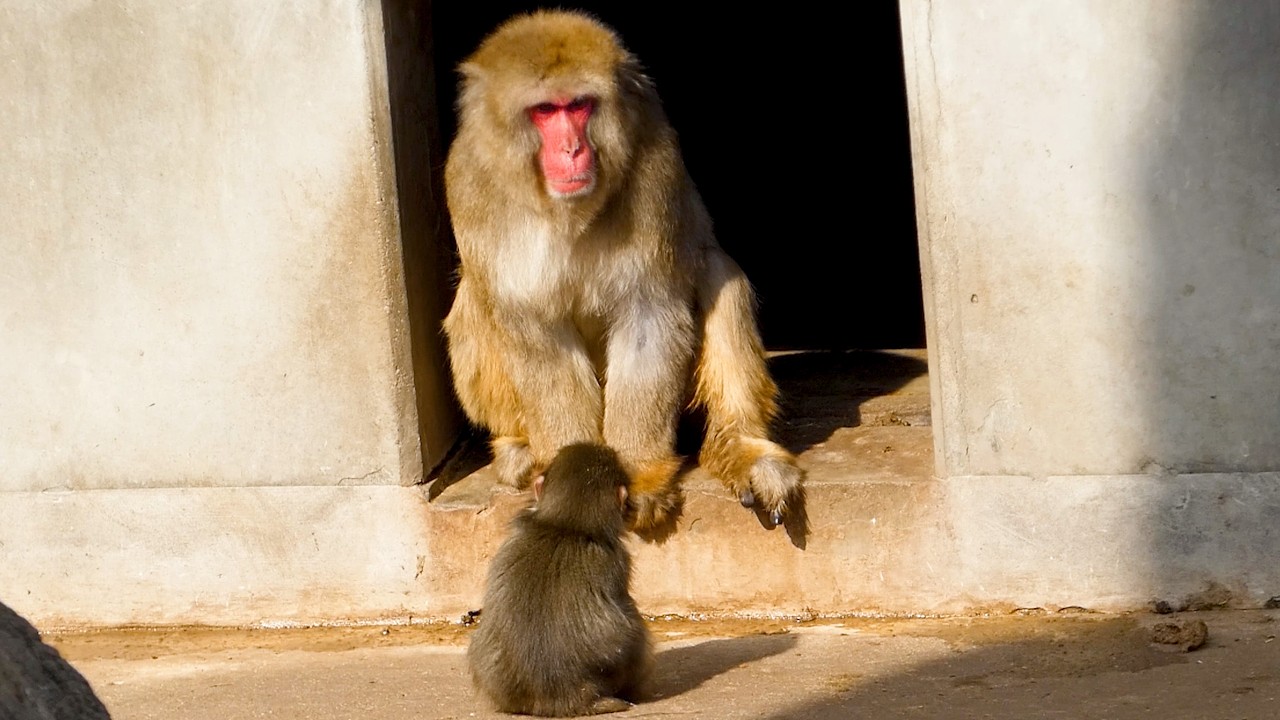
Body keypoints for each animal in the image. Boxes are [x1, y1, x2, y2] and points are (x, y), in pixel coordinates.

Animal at [442, 9, 804, 532]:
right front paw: (564, 474)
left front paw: (639, 475)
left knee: (717, 269)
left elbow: (648, 314)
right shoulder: (470, 183)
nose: (572, 150)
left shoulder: (653, 167)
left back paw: (740, 446)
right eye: (545, 111)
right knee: (474, 297)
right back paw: (519, 447)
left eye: (579, 106)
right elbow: (534, 326)